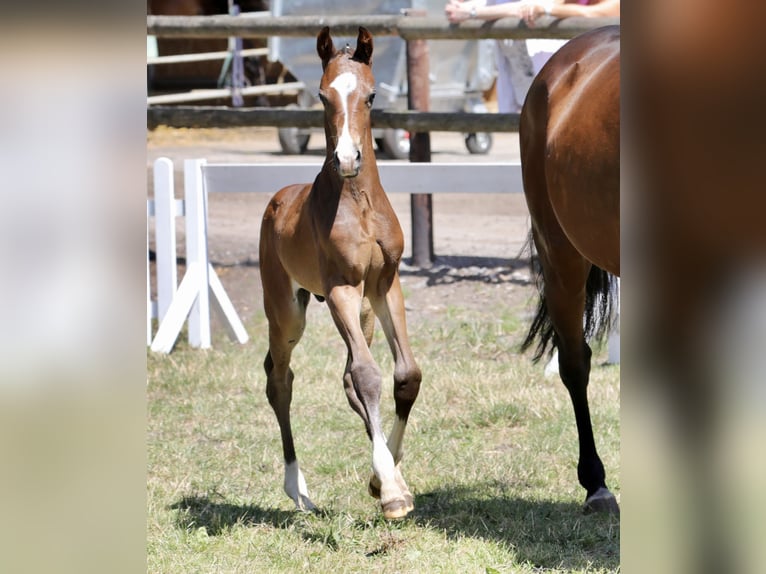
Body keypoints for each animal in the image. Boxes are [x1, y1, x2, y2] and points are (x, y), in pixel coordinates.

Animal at [258, 26, 422, 520]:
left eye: (370, 96)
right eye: (321, 94)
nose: (347, 159)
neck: (358, 203)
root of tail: (277, 200)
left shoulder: (385, 286)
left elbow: (404, 375)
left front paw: (384, 477)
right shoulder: (341, 290)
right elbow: (369, 376)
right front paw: (391, 492)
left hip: (364, 314)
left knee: (348, 379)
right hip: (287, 312)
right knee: (280, 379)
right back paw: (297, 488)